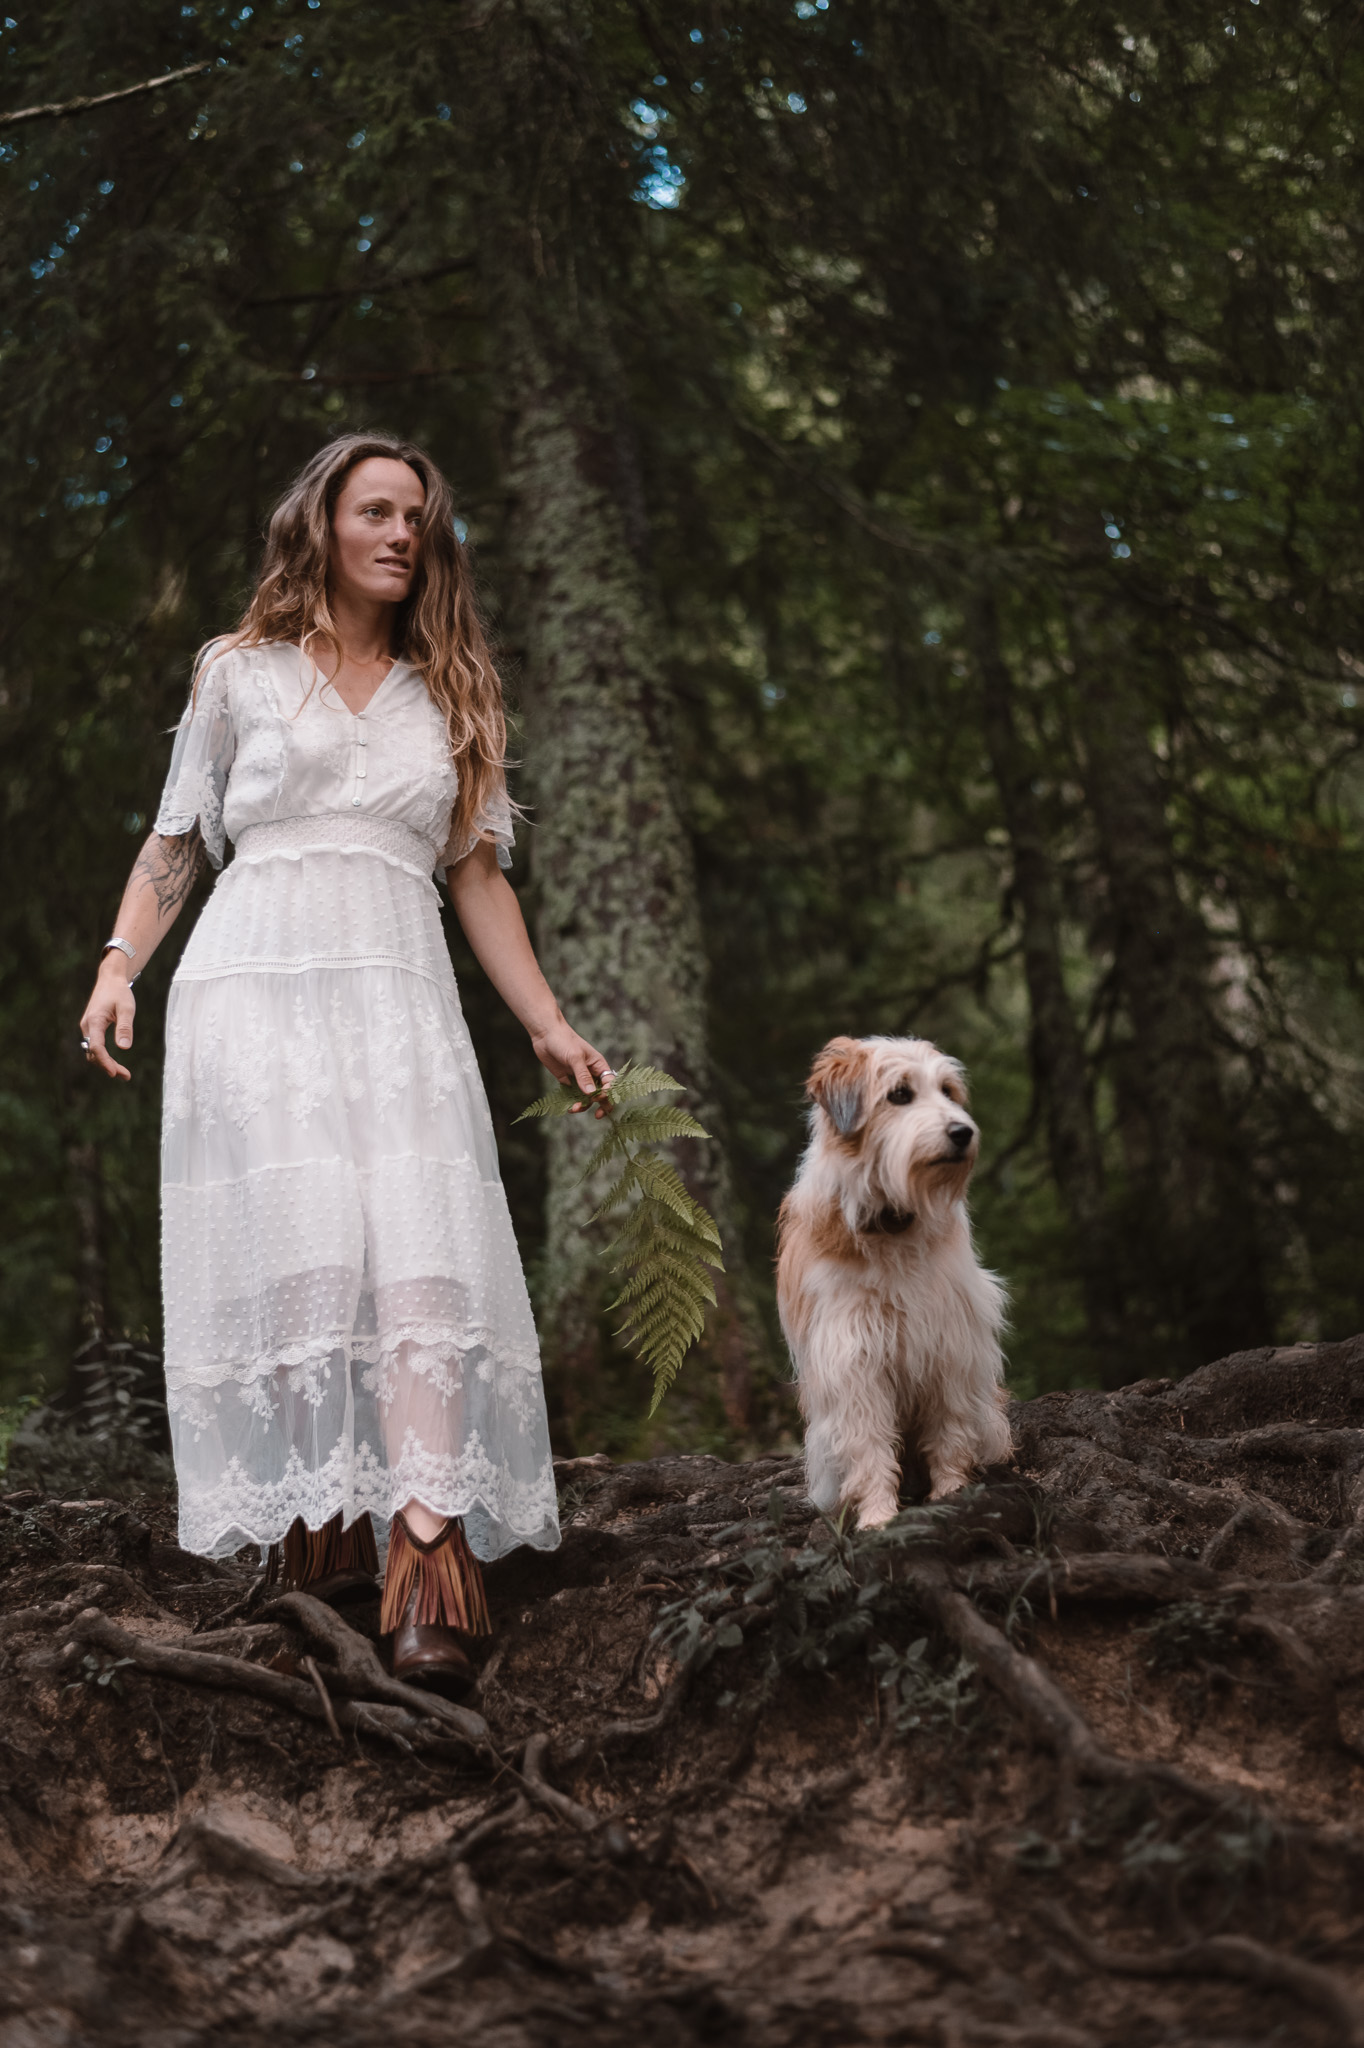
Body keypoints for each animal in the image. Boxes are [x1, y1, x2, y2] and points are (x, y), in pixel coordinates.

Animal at [770, 1032, 1003, 1531]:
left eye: (948, 1091)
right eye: (899, 1094)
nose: (963, 1133)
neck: (892, 1224)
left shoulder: (949, 1344)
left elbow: (949, 1428)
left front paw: (952, 1492)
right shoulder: (852, 1358)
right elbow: (869, 1446)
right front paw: (878, 1515)